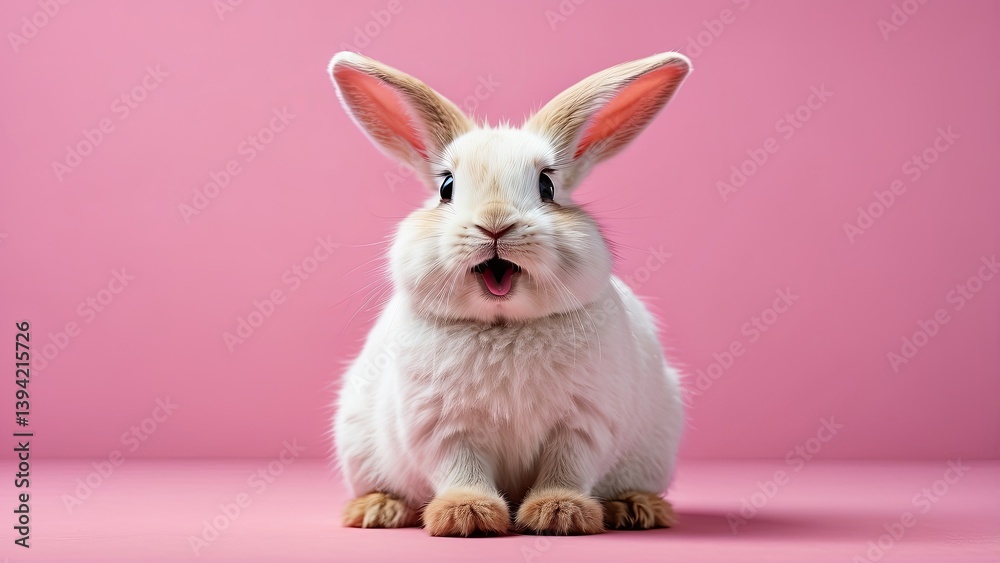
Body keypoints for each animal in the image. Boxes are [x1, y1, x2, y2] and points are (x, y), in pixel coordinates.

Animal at [327, 50, 691, 536]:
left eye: (547, 186)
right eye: (446, 188)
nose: (495, 222)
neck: (505, 325)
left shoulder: (583, 424)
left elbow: (566, 468)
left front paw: (559, 513)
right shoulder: (443, 427)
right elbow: (461, 469)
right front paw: (467, 514)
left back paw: (635, 508)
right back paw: (377, 509)